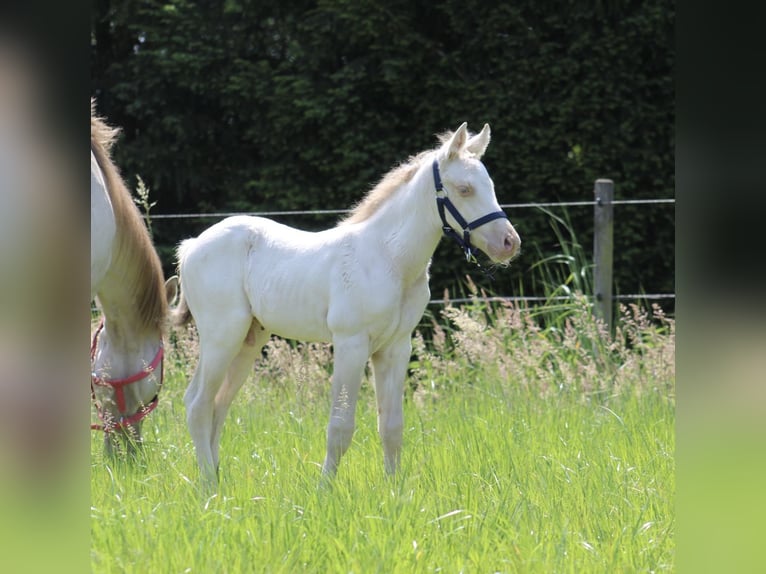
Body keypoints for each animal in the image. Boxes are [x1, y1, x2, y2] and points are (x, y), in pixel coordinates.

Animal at [171, 122, 521, 486]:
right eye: (464, 189)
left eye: (491, 185)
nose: (509, 243)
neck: (388, 258)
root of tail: (193, 244)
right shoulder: (351, 344)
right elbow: (340, 427)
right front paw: (324, 489)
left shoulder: (396, 348)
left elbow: (392, 426)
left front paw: (394, 490)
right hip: (222, 336)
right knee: (198, 403)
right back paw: (209, 487)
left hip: (249, 340)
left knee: (219, 404)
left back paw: (216, 479)